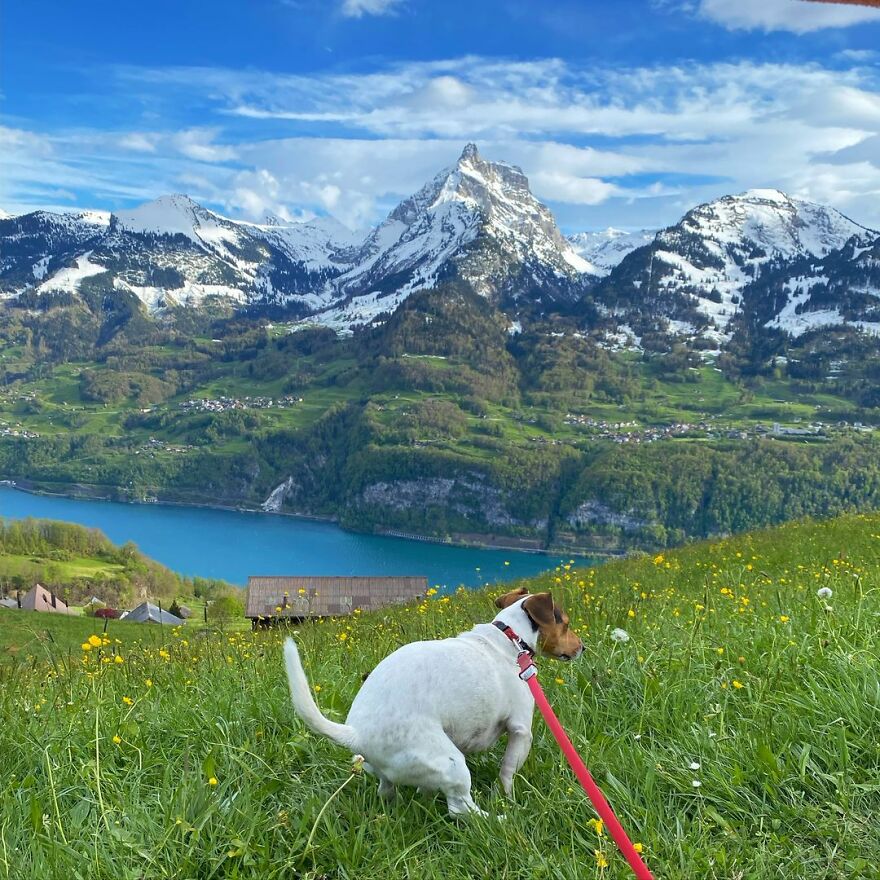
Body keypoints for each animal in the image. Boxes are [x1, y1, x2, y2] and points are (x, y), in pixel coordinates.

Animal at [284, 588, 584, 816]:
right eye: (567, 623)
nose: (582, 647)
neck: (509, 637)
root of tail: (357, 734)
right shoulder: (521, 729)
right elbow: (507, 772)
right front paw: (508, 799)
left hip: (393, 771)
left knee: (388, 789)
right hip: (451, 763)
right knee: (460, 809)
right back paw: (497, 819)